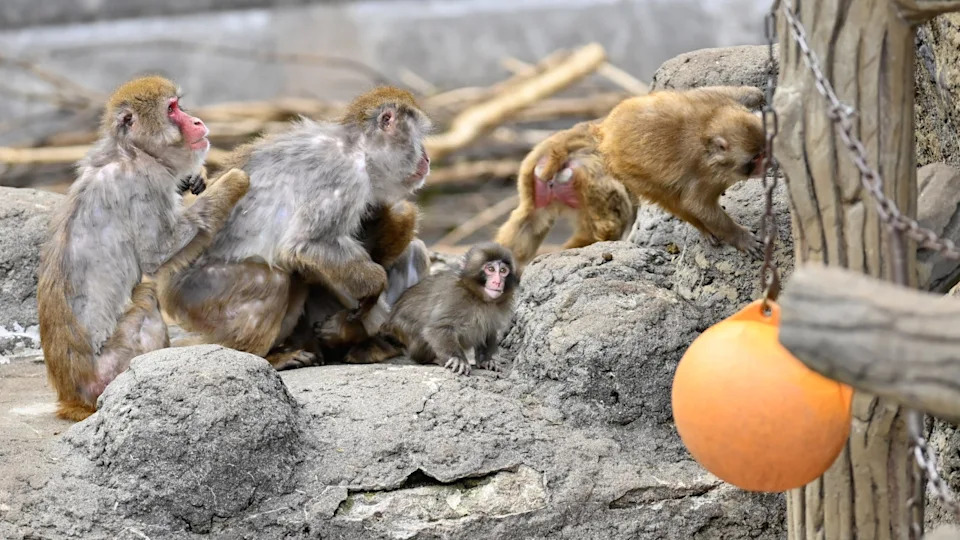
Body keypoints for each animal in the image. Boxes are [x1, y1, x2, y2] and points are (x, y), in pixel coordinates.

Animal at [37, 75, 250, 422]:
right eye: (172, 109)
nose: (196, 121)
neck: (132, 151)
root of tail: (73, 395)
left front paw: (195, 179)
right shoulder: (145, 184)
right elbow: (156, 256)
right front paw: (236, 180)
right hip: (112, 366)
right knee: (147, 296)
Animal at [158, 86, 432, 370]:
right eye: (418, 137)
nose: (427, 157)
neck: (358, 147)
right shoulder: (344, 176)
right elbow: (305, 245)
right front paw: (374, 288)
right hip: (195, 294)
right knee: (276, 279)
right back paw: (264, 355)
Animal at [365, 242, 519, 375]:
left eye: (503, 271)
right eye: (491, 269)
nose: (498, 282)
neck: (478, 297)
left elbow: (488, 331)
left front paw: (486, 360)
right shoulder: (455, 297)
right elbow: (437, 328)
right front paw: (458, 359)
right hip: (401, 328)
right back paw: (430, 359)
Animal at [494, 85, 767, 267]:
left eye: (763, 152)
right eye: (754, 159)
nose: (767, 163)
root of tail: (603, 130)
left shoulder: (718, 101)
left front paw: (758, 95)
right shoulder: (704, 175)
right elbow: (696, 203)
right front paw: (740, 237)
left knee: (529, 221)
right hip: (613, 173)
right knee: (649, 202)